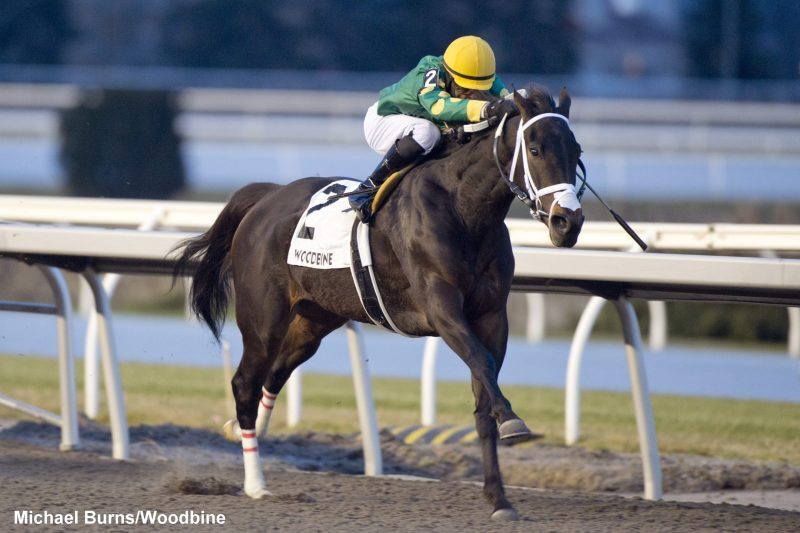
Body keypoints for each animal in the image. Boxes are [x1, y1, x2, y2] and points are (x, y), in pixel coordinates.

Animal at [173, 87, 580, 520]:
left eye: (577, 151)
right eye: (534, 149)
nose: (568, 222)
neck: (463, 210)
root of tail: (267, 197)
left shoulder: (491, 317)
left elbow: (483, 395)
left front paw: (499, 498)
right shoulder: (441, 307)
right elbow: (482, 364)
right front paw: (513, 421)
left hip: (313, 320)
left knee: (275, 374)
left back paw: (243, 432)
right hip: (263, 319)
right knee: (245, 383)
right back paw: (255, 484)